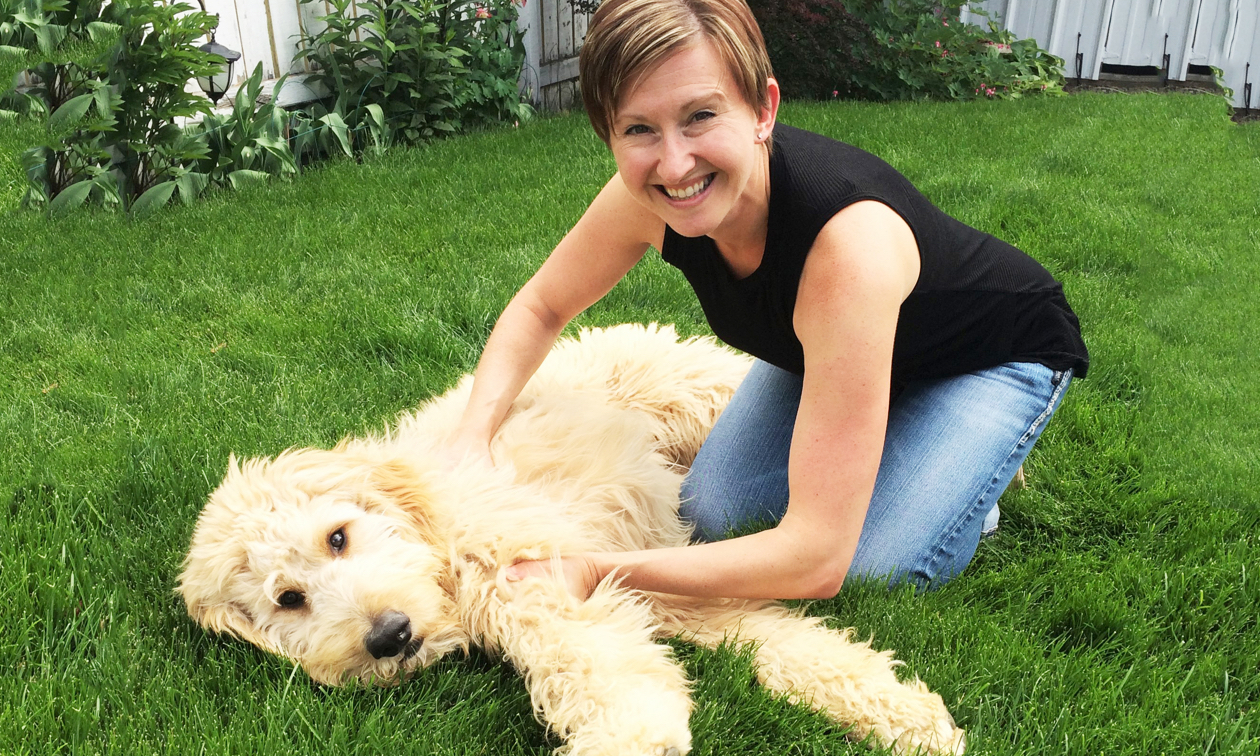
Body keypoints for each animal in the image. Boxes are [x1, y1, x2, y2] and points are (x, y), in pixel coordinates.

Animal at [177, 322, 962, 756]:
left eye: (338, 537)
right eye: (288, 599)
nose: (389, 636)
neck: (437, 533)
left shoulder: (546, 587)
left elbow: (604, 679)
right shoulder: (671, 589)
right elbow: (790, 646)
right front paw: (909, 717)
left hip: (704, 397)